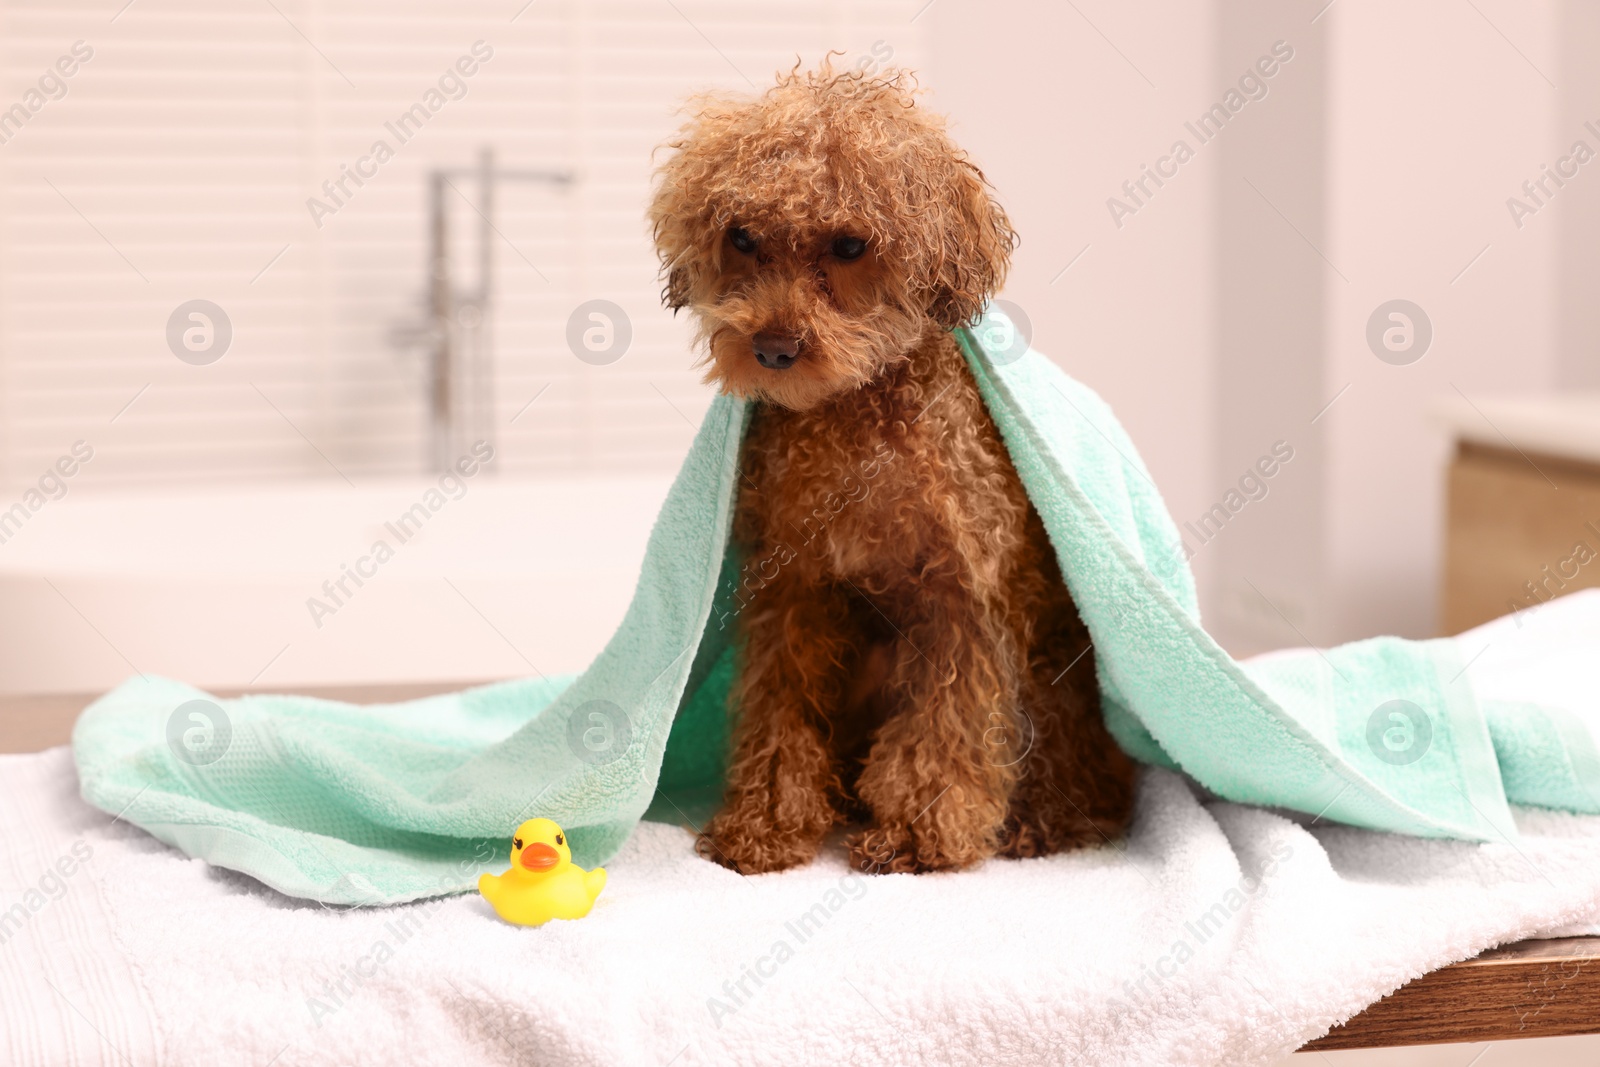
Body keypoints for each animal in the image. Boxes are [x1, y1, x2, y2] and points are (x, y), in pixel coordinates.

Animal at [649, 60, 1139, 876]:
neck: (855, 426)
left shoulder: (961, 598)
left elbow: (945, 728)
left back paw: (1046, 824)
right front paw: (766, 823)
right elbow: (779, 709)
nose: (774, 348)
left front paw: (917, 832)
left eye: (851, 245)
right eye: (742, 237)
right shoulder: (793, 589)